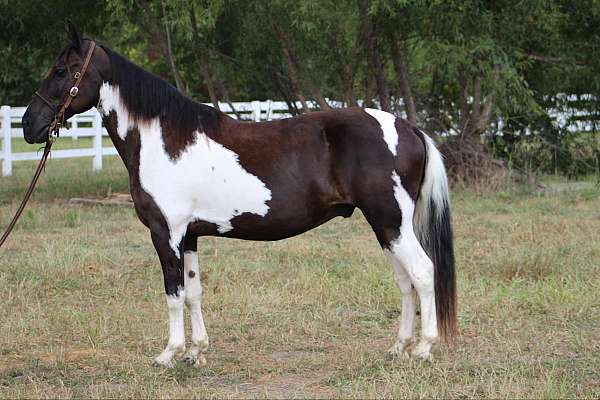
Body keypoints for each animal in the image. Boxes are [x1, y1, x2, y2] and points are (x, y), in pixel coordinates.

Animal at [21, 25, 458, 368]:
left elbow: (173, 294)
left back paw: (423, 349)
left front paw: (169, 354)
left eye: (61, 70)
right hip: (385, 226)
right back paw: (398, 348)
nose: (28, 125)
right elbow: (194, 292)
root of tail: (408, 128)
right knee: (405, 281)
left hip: (390, 222)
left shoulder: (165, 234)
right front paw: (195, 352)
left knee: (423, 272)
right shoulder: (190, 236)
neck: (163, 140)